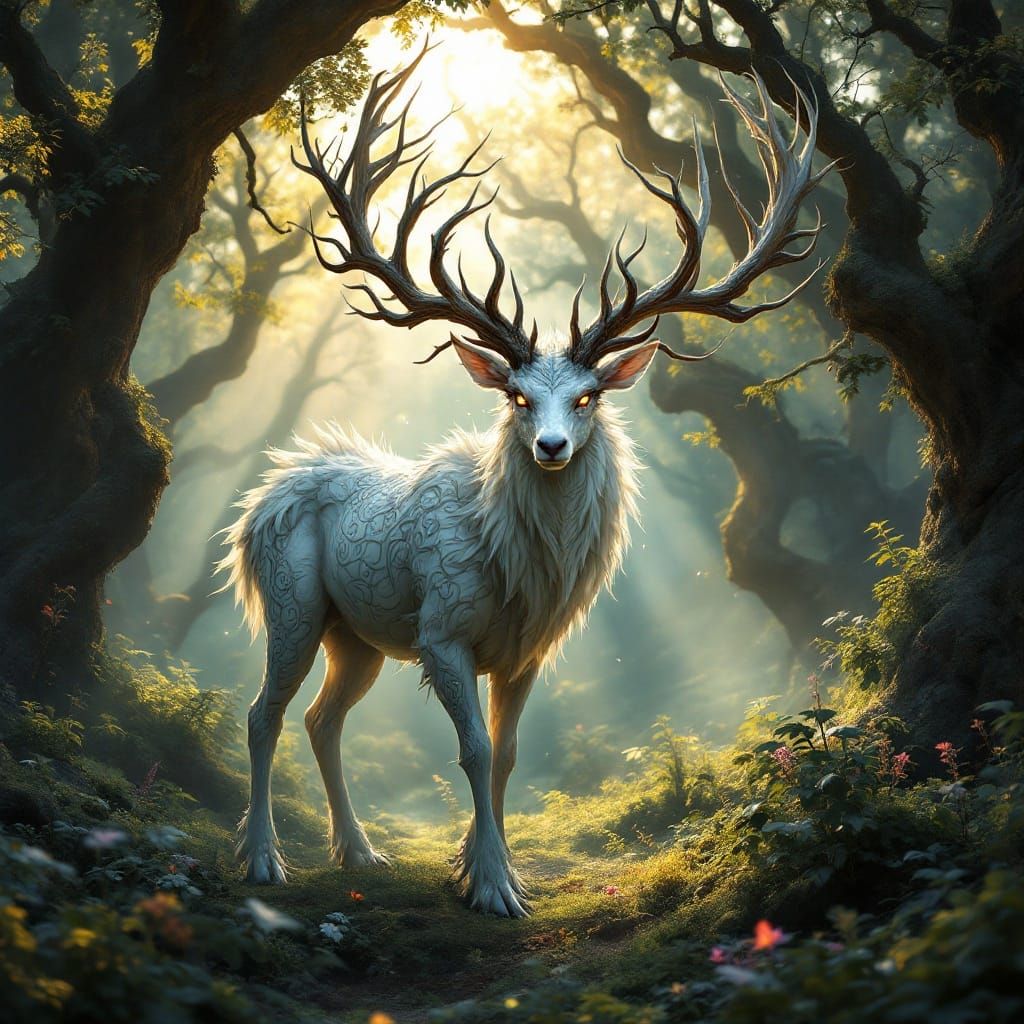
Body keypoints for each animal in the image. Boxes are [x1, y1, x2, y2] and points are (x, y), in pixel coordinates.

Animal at [218, 46, 830, 917]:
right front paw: (493, 887)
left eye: (588, 396)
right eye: (515, 395)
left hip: (357, 635)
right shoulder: (442, 631)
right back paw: (265, 860)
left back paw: (359, 851)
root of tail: (259, 501)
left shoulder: (526, 653)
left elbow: (507, 757)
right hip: (293, 603)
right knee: (261, 713)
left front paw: (482, 867)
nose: (549, 446)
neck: (520, 570)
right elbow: (472, 752)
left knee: (321, 719)